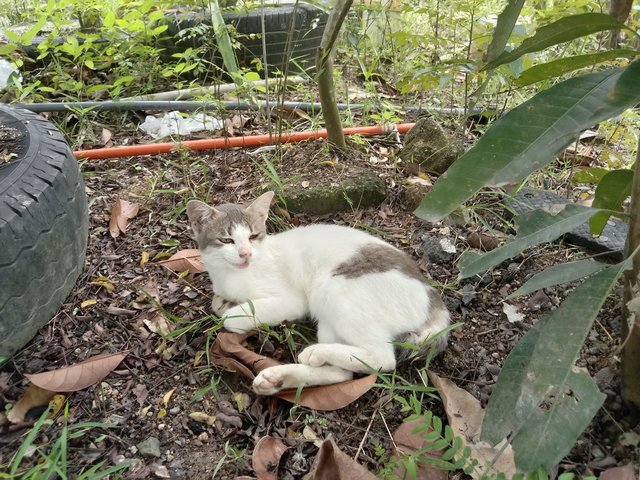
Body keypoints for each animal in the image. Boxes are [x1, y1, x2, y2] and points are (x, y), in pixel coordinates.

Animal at [185, 190, 450, 394]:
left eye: (253, 236)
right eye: (226, 240)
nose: (245, 254)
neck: (229, 275)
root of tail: (435, 301)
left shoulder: (292, 301)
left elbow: (229, 318)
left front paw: (232, 311)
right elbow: (216, 302)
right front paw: (224, 302)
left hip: (333, 289)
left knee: (383, 359)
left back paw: (315, 353)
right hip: (329, 316)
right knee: (341, 374)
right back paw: (279, 378)